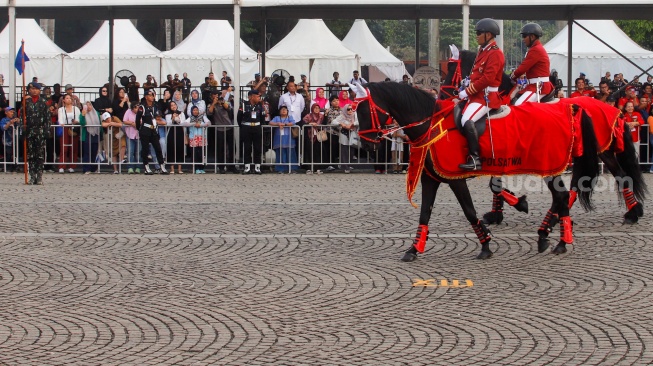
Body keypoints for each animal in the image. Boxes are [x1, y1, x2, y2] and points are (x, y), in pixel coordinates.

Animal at [354, 81, 600, 262]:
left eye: (365, 110)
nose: (365, 145)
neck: (432, 126)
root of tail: (569, 107)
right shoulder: (430, 179)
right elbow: (425, 213)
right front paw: (413, 249)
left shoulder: (456, 179)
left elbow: (469, 210)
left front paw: (486, 244)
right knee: (562, 196)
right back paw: (551, 238)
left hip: (550, 166)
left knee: (562, 196)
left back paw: (559, 240)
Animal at [438, 49, 640, 227]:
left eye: (450, 70)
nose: (441, 97)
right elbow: (495, 183)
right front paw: (497, 214)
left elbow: (494, 184)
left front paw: (516, 205)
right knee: (600, 178)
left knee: (613, 176)